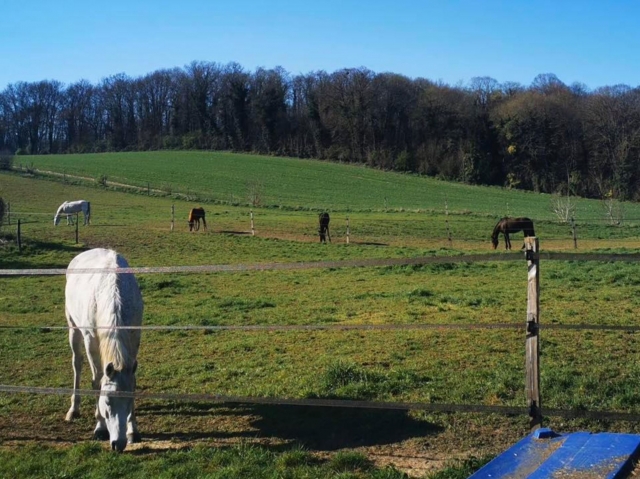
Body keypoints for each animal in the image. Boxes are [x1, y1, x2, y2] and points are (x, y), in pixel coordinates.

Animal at [64, 248, 143, 452]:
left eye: (129, 401)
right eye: (106, 401)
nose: (119, 444)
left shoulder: (134, 339)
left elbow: (132, 381)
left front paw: (133, 430)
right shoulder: (90, 340)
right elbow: (97, 380)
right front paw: (100, 427)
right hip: (73, 328)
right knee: (77, 364)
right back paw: (73, 409)